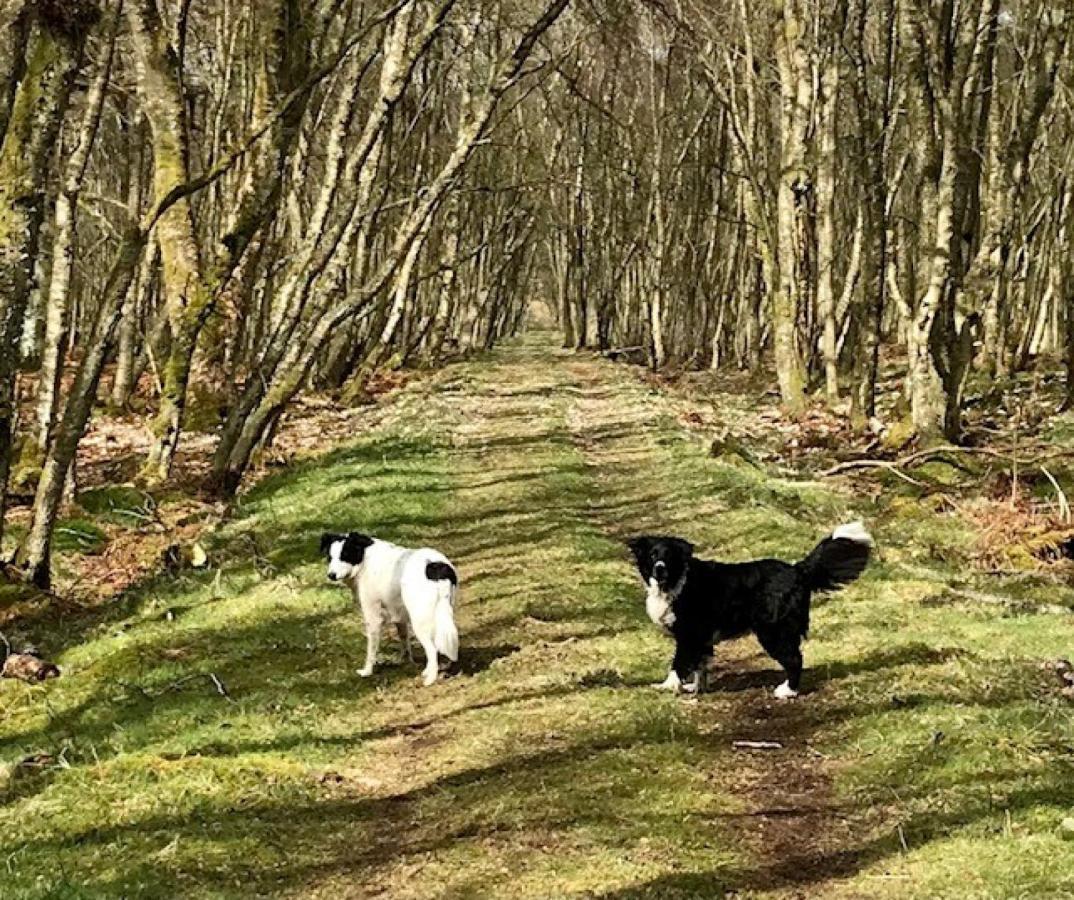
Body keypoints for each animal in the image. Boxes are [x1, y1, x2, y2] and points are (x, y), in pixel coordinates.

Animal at [313, 532, 457, 687]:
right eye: (329, 557)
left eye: (345, 555)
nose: (331, 575)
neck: (364, 558)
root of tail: (436, 567)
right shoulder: (399, 614)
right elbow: (404, 639)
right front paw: (405, 661)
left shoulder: (373, 617)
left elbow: (371, 649)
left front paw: (367, 671)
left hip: (420, 620)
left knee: (432, 649)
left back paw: (430, 678)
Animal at [627, 524, 872, 700]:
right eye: (652, 555)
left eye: (668, 556)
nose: (659, 569)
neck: (677, 581)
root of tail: (797, 570)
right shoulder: (702, 638)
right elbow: (700, 665)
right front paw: (696, 688)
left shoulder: (689, 635)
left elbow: (678, 663)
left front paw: (667, 686)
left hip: (773, 631)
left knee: (795, 659)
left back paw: (787, 691)